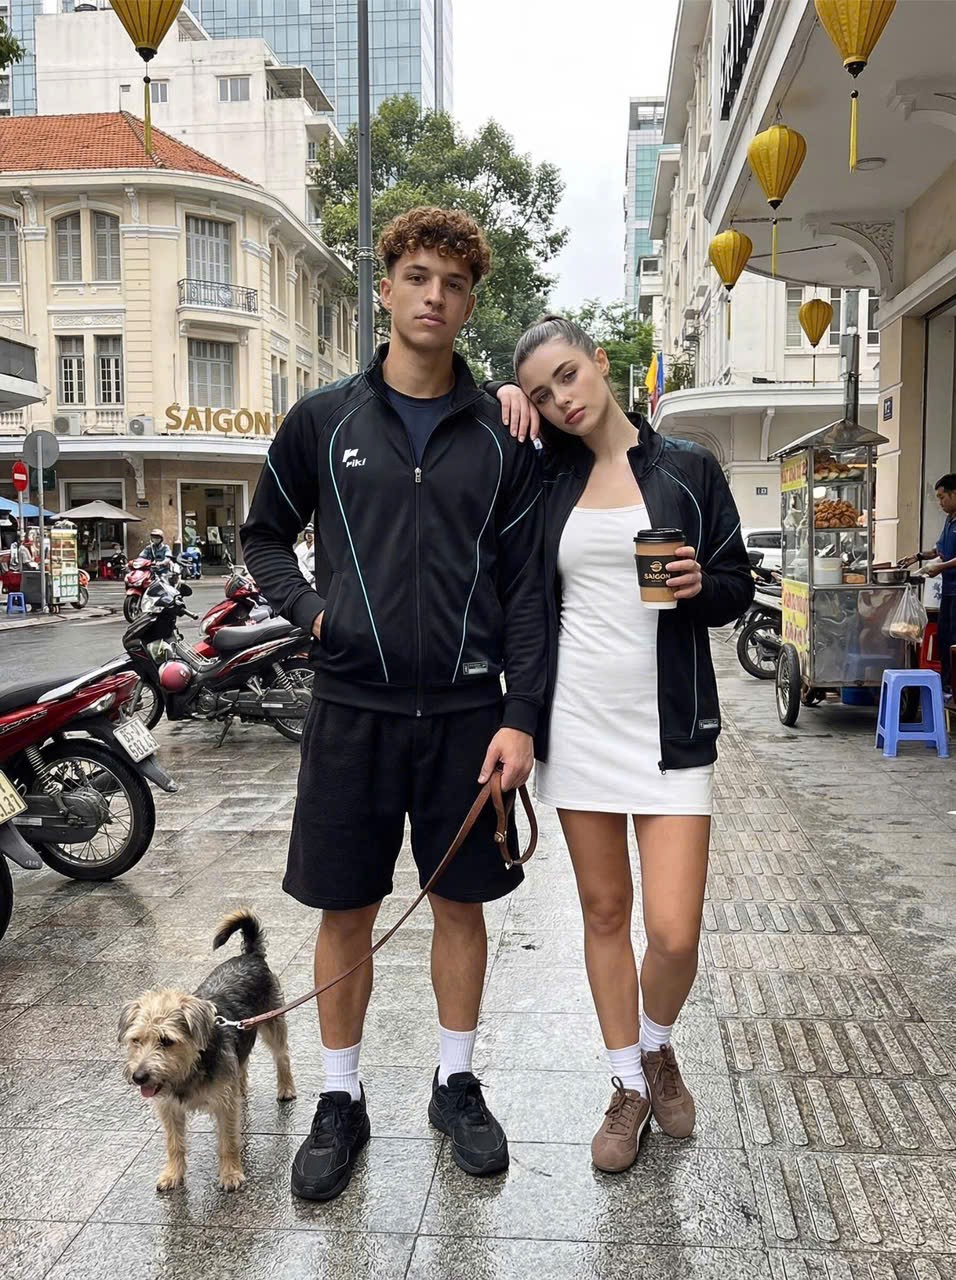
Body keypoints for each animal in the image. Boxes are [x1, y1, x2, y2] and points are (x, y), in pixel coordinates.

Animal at [118, 908, 296, 1192]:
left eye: (166, 1041)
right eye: (136, 1040)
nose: (139, 1077)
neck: (191, 1069)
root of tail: (251, 955)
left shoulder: (224, 1106)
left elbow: (228, 1141)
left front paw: (231, 1174)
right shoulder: (169, 1108)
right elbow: (174, 1143)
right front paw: (173, 1173)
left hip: (272, 1020)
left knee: (282, 1055)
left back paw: (286, 1088)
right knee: (242, 1063)